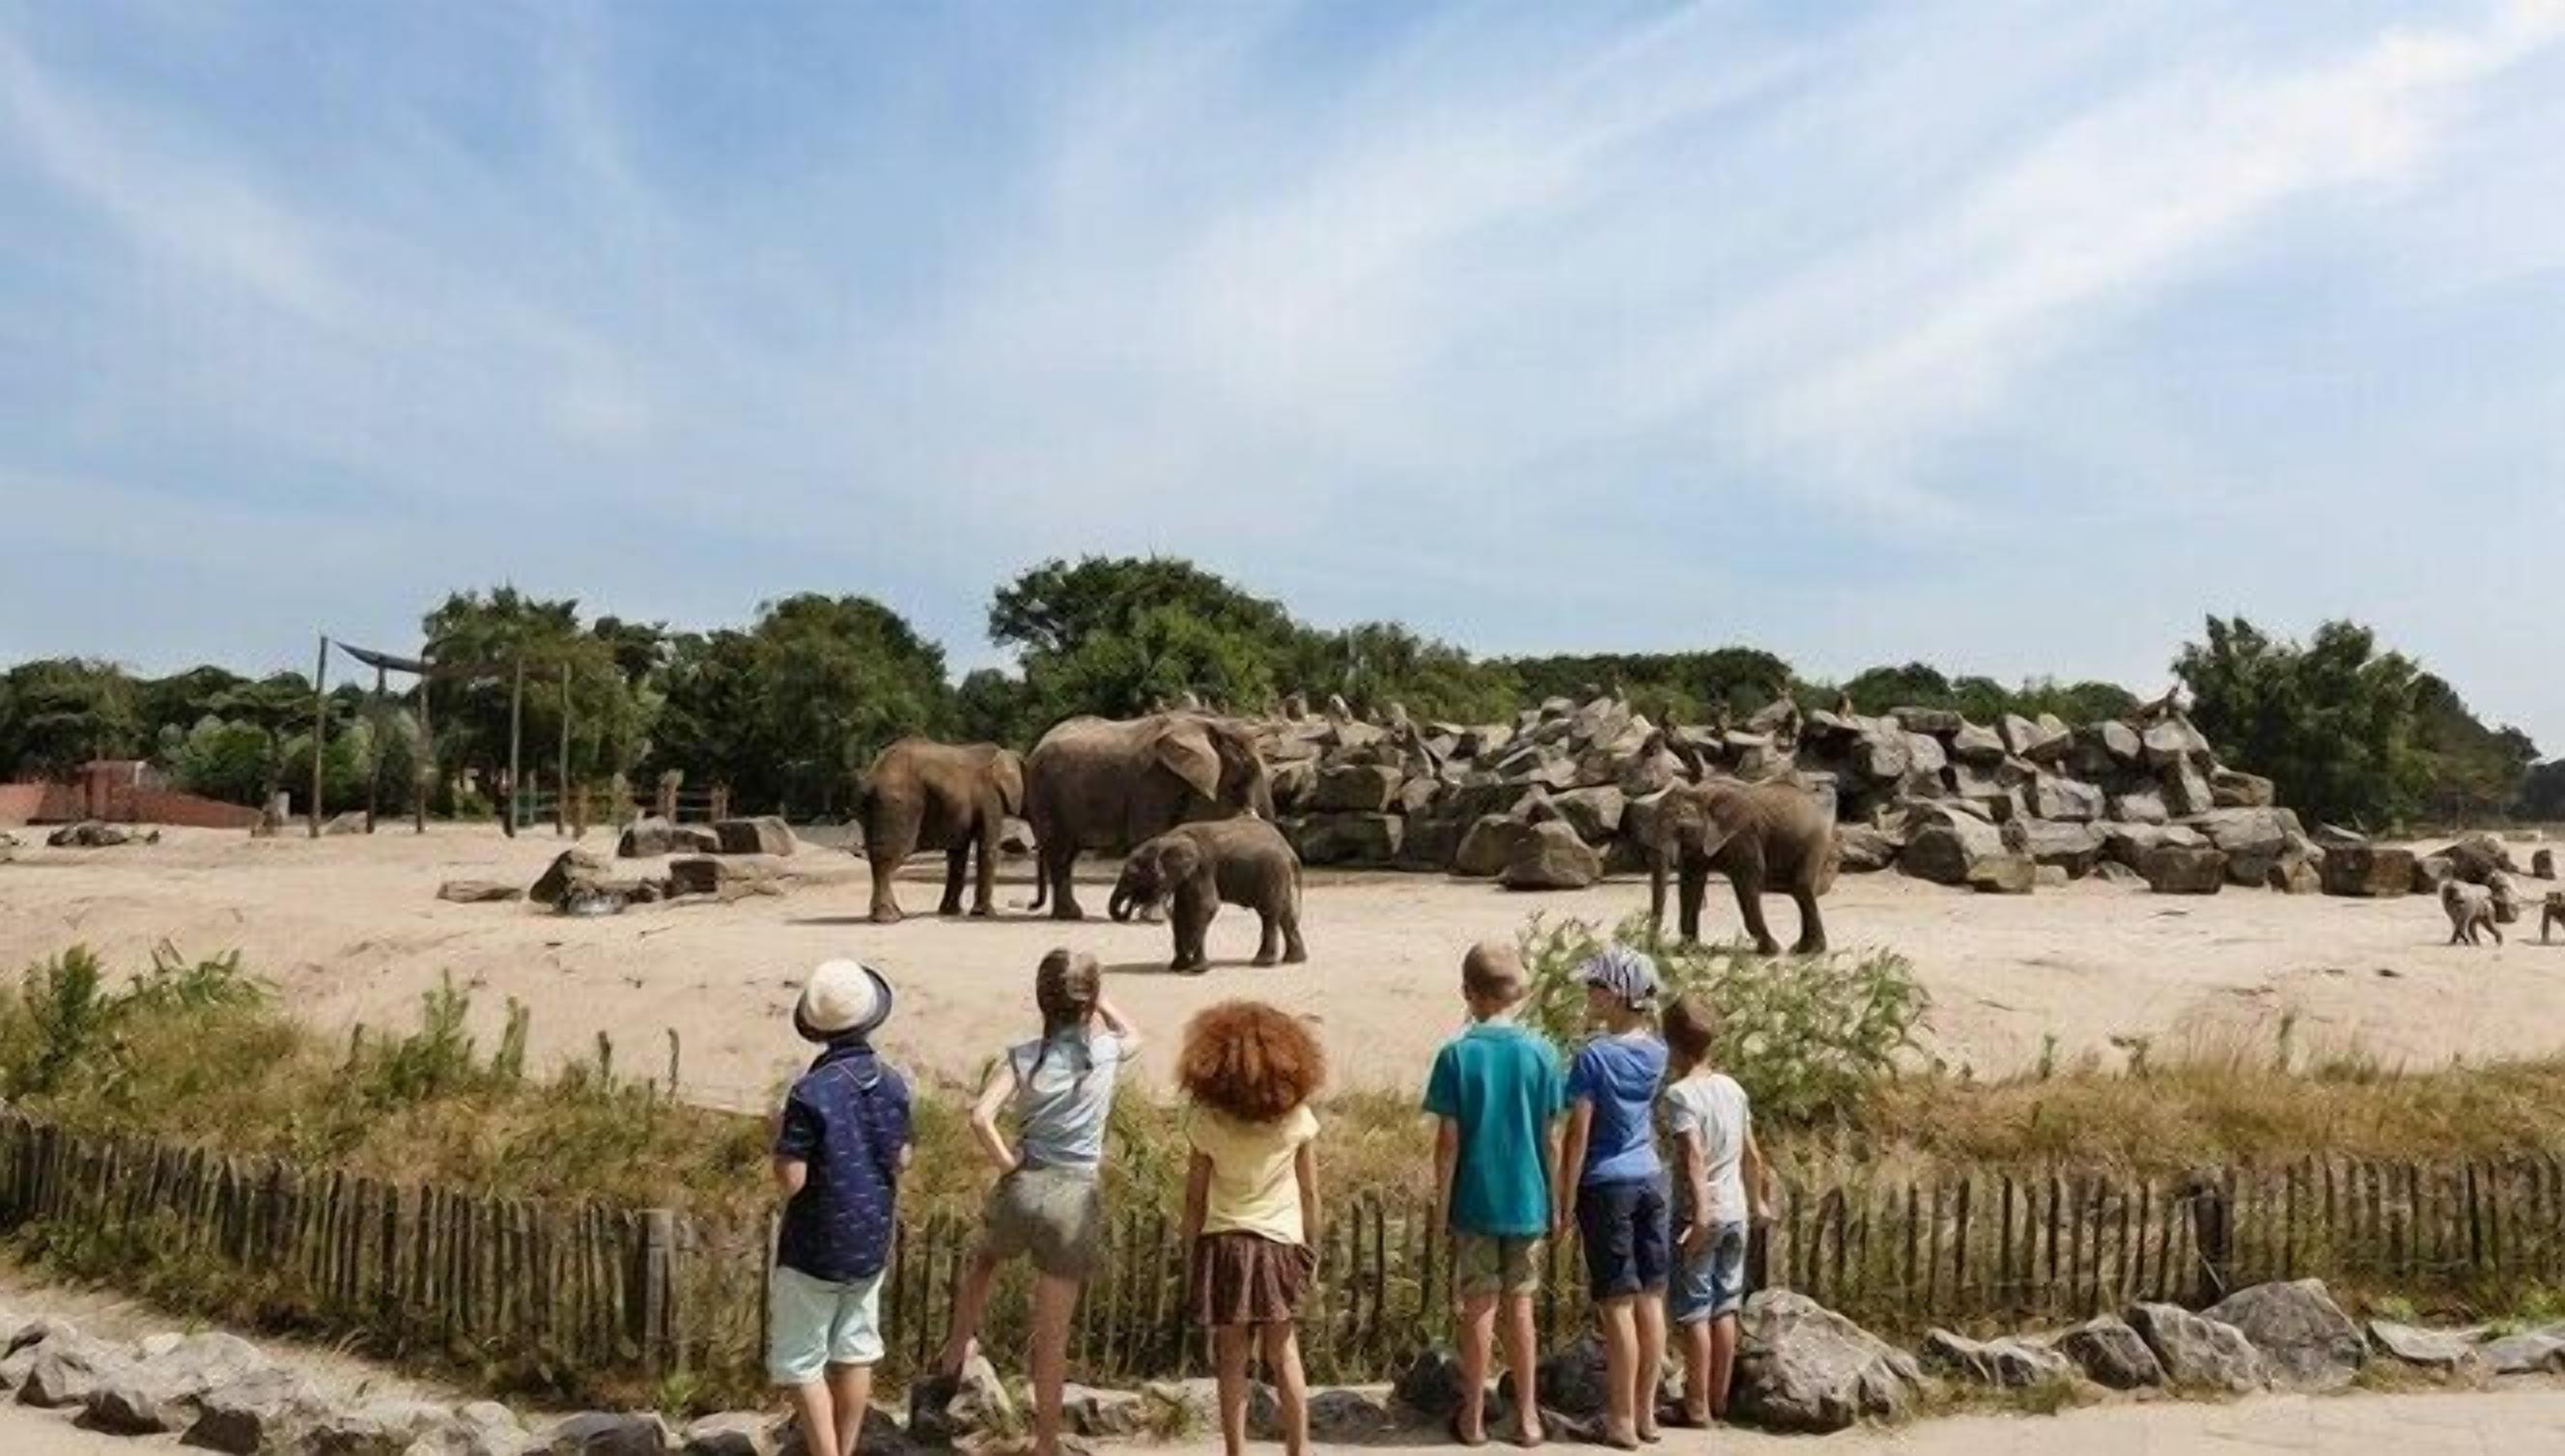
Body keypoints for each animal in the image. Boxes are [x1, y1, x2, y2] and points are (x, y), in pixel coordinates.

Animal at [852, 739, 1025, 923]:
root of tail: (872, 775)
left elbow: (958, 854)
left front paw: (951, 912)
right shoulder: (990, 797)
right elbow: (987, 848)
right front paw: (986, 914)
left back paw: (891, 915)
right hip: (897, 804)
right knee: (889, 857)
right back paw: (888, 918)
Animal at [1024, 712, 1276, 921]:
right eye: (1247, 772)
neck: (1209, 723)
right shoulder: (1151, 779)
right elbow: (1151, 835)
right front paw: (1155, 918)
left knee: (1068, 853)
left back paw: (1069, 914)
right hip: (1044, 792)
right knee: (1060, 852)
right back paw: (1069, 916)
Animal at [1109, 818, 1307, 973]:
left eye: (1133, 876)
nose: (1129, 909)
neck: (1166, 839)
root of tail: (1289, 850)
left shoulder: (1202, 867)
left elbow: (1205, 907)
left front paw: (1196, 970)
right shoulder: (1187, 875)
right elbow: (1180, 911)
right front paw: (1178, 967)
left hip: (1273, 873)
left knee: (1269, 914)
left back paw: (1262, 963)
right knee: (1286, 915)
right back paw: (1294, 960)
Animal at [1640, 760, 1838, 955]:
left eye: (1681, 828)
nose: (1653, 948)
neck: (1698, 792)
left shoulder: (1743, 835)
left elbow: (1747, 884)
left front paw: (1771, 950)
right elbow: (1691, 883)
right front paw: (1688, 949)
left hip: (1815, 839)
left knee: (1802, 886)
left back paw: (1811, 951)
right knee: (1799, 891)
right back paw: (1800, 949)